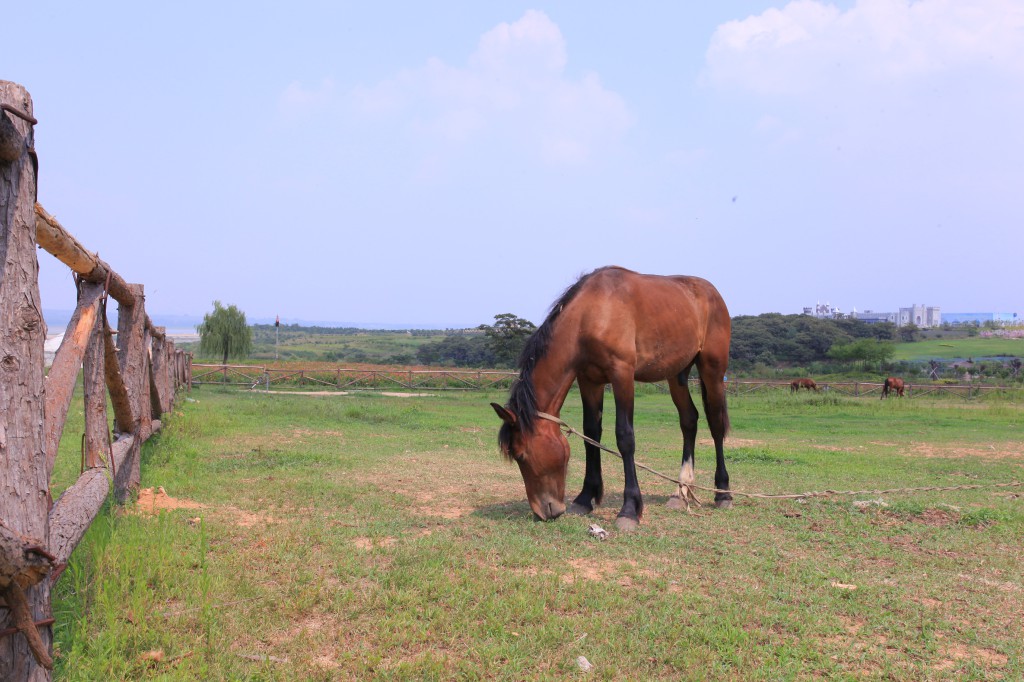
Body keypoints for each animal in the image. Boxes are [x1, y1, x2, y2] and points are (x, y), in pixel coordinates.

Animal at [491, 262, 733, 528]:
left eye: (521, 455)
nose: (544, 511)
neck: (591, 314)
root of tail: (711, 292)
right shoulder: (589, 380)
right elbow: (591, 434)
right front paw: (585, 498)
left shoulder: (622, 375)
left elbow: (625, 437)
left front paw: (629, 509)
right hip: (676, 374)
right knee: (689, 420)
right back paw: (681, 491)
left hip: (713, 369)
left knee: (716, 425)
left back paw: (723, 493)